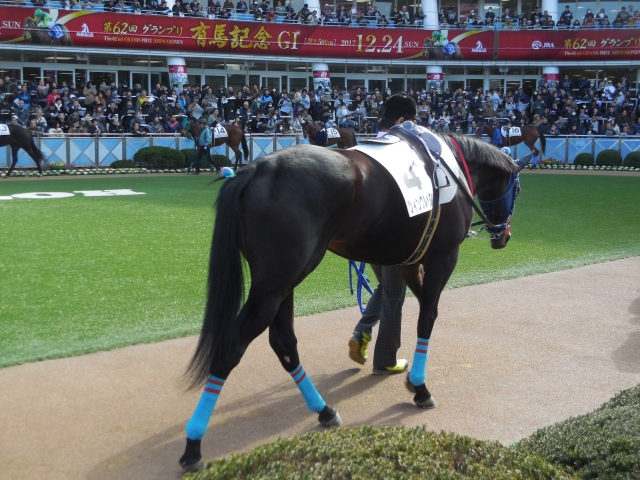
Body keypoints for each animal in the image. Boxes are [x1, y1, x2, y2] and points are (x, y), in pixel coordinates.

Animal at [178, 127, 531, 471]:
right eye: (517, 190)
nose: (504, 235)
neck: (451, 166)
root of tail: (257, 168)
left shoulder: (406, 262)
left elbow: (411, 307)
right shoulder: (443, 257)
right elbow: (427, 317)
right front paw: (420, 388)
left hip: (282, 281)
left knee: (284, 342)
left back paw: (323, 410)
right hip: (275, 283)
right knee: (233, 344)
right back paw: (193, 444)